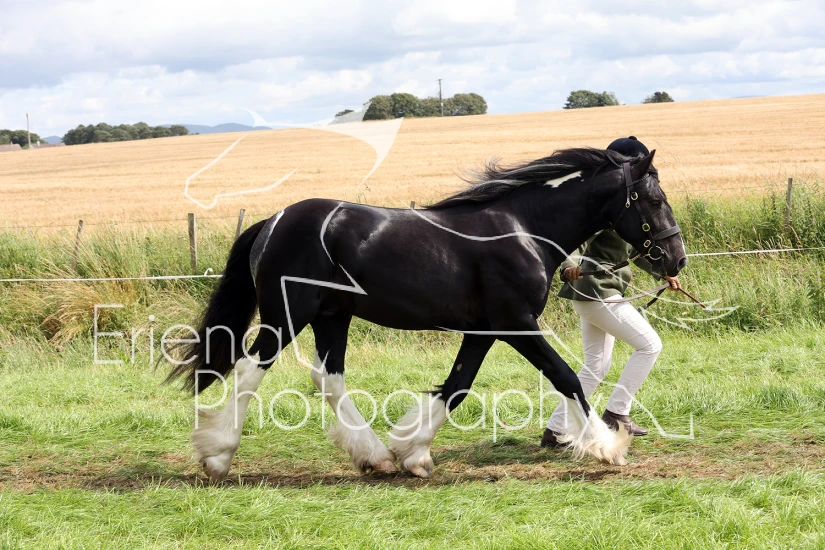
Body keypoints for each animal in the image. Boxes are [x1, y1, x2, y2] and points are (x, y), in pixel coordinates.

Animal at [167, 147, 686, 481]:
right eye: (654, 199)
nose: (676, 259)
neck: (522, 230)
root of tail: (273, 222)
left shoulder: (484, 330)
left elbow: (457, 385)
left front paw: (412, 453)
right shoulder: (516, 324)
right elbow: (566, 376)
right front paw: (607, 447)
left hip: (333, 316)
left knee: (329, 378)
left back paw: (375, 457)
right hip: (288, 314)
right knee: (251, 369)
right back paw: (218, 457)